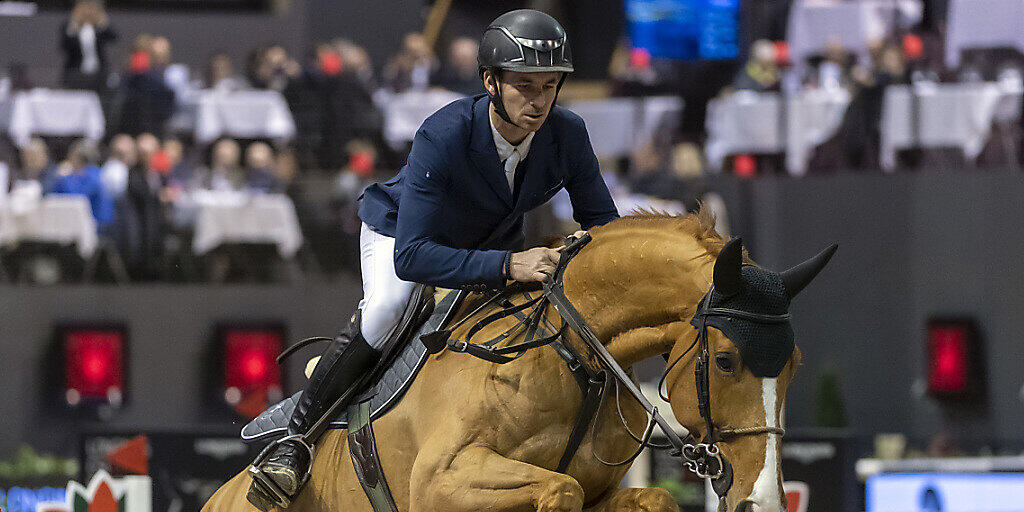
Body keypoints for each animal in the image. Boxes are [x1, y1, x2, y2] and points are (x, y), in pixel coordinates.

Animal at [203, 208, 827, 512]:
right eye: (724, 360)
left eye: (794, 367)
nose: (761, 502)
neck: (575, 355)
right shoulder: (441, 481)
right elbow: (559, 490)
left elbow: (647, 497)